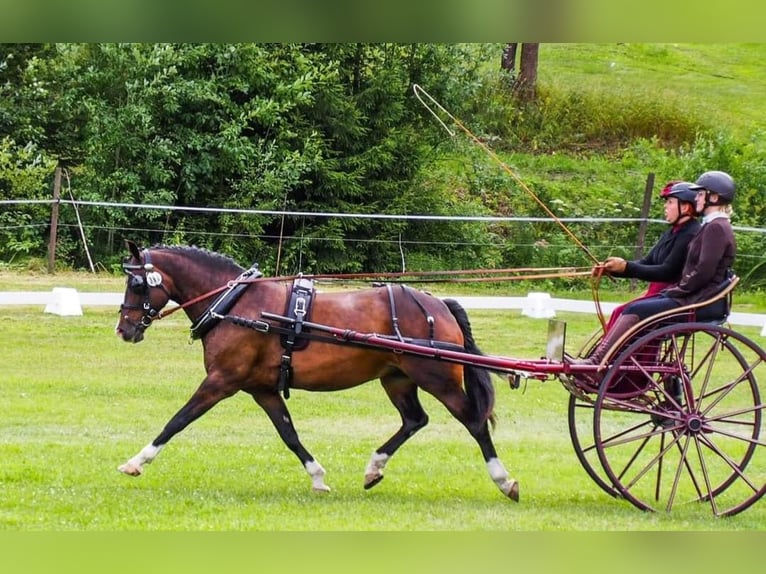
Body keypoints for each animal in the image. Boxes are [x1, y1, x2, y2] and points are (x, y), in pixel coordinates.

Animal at [115, 241, 520, 502]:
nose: (124, 329)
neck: (236, 304)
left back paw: (504, 481)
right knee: (414, 420)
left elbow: (177, 420)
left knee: (474, 422)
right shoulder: (262, 389)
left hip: (436, 378)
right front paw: (318, 477)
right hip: (397, 378)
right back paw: (374, 468)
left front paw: (136, 462)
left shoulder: (221, 381)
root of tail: (440, 305)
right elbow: (289, 434)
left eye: (136, 283)